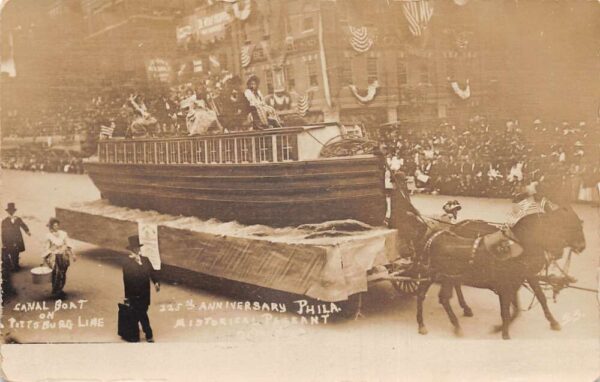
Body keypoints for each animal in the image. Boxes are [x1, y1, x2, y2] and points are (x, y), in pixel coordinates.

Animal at [406, 204, 584, 338]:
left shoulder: (524, 277)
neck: (522, 245)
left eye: (579, 222)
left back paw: (458, 314)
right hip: (435, 274)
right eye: (568, 224)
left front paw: (552, 322)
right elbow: (510, 306)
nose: (582, 246)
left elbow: (534, 299)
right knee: (435, 296)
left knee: (441, 295)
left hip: (444, 276)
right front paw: (503, 330)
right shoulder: (510, 282)